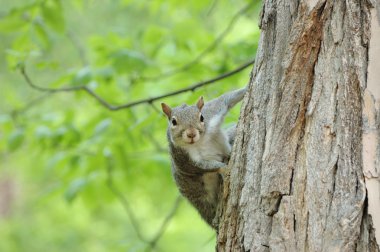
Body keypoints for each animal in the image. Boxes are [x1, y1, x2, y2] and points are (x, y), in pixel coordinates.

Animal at [160, 88, 246, 228]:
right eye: (173, 122)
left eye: (201, 117)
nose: (191, 134)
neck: (199, 142)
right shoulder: (184, 159)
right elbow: (205, 167)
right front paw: (225, 169)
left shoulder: (212, 114)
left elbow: (226, 99)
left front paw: (246, 89)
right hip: (200, 196)